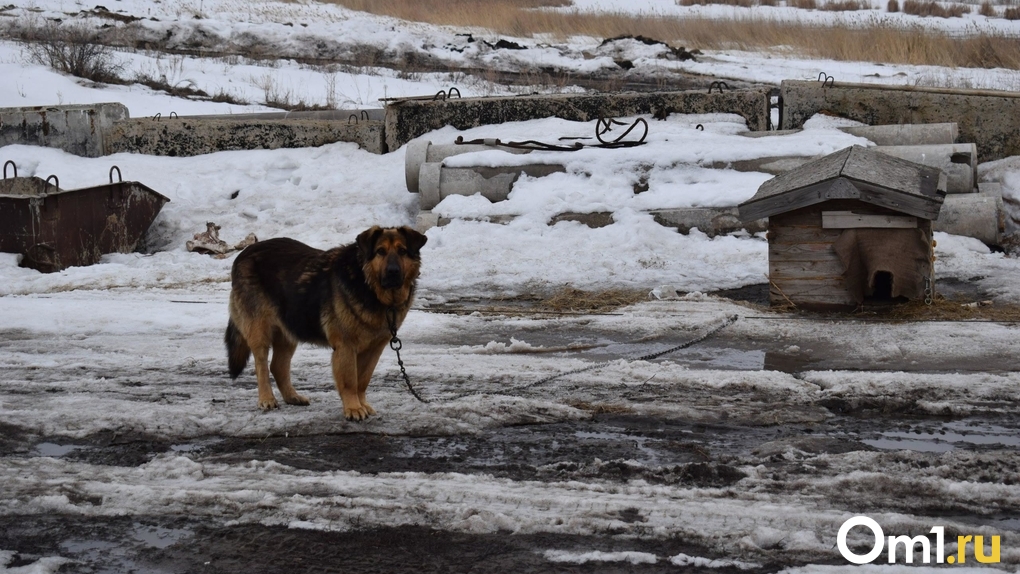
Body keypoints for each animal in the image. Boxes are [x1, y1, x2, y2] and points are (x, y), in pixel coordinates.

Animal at [224, 226, 427, 420]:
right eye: (380, 252)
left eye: (402, 251)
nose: (393, 272)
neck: (368, 286)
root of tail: (244, 253)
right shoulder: (345, 347)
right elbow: (350, 381)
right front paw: (353, 408)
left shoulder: (374, 349)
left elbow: (362, 380)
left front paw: (362, 404)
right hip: (260, 331)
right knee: (262, 366)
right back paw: (266, 398)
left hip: (290, 329)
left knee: (278, 367)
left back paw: (292, 396)